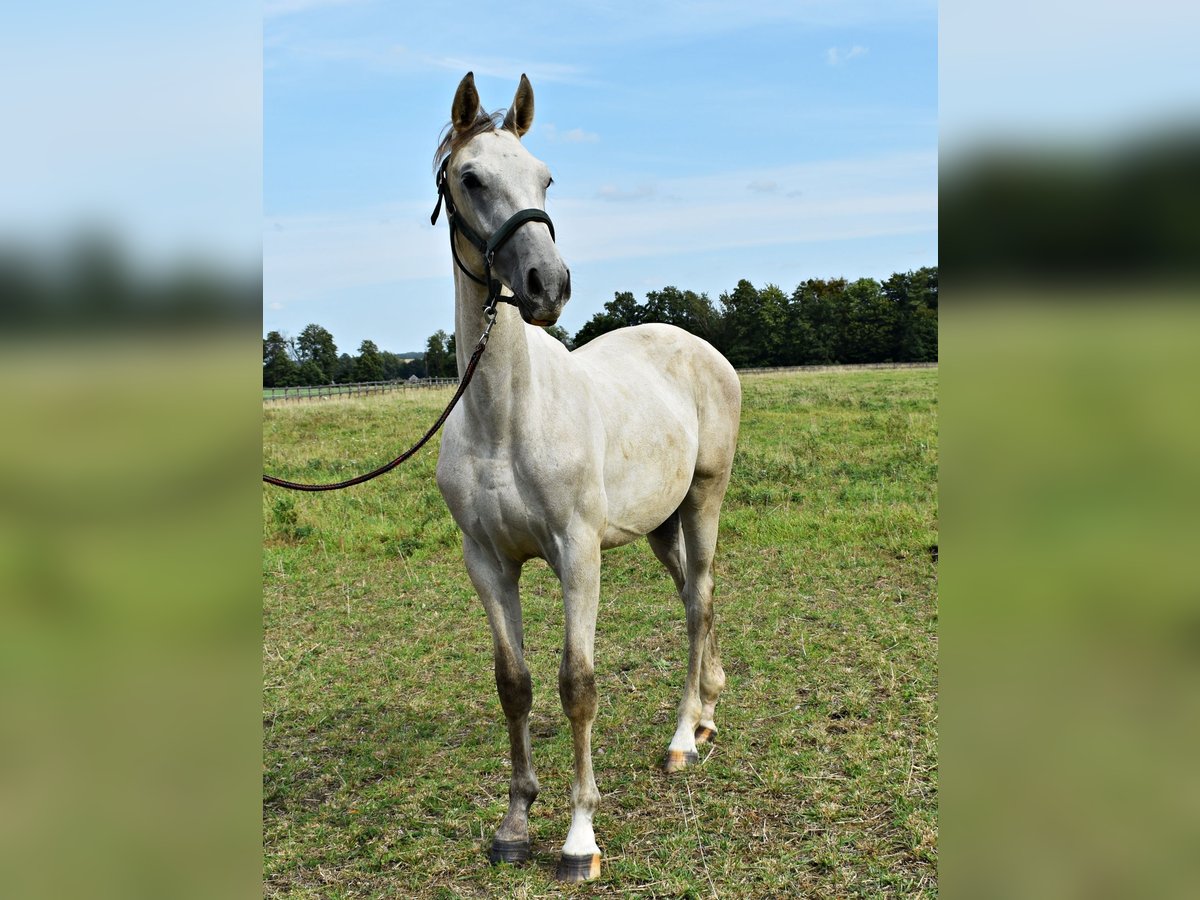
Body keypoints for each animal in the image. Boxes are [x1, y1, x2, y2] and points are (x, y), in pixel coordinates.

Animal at [427, 72, 734, 888]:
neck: (507, 416)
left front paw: (578, 839)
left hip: (704, 499)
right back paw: (705, 710)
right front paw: (514, 825)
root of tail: (699, 345)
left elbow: (577, 685)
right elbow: (515, 684)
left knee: (698, 601)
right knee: (692, 601)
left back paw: (682, 739)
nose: (547, 284)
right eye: (471, 178)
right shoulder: (487, 562)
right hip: (659, 524)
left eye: (545, 178)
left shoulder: (578, 552)